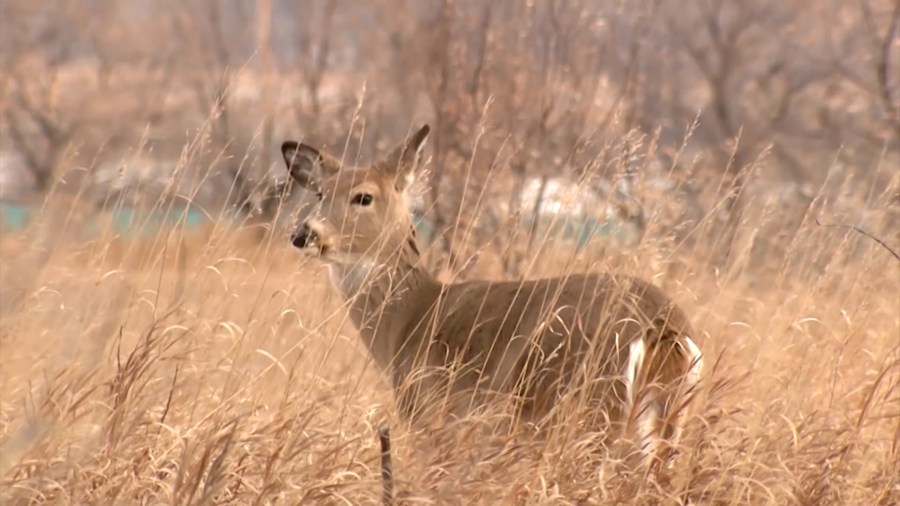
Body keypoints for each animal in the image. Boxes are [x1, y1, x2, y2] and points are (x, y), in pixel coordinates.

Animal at [280, 124, 704, 471]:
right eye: (319, 193)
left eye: (363, 197)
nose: (304, 233)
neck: (409, 321)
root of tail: (661, 325)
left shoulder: (430, 414)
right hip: (667, 419)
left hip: (588, 407)